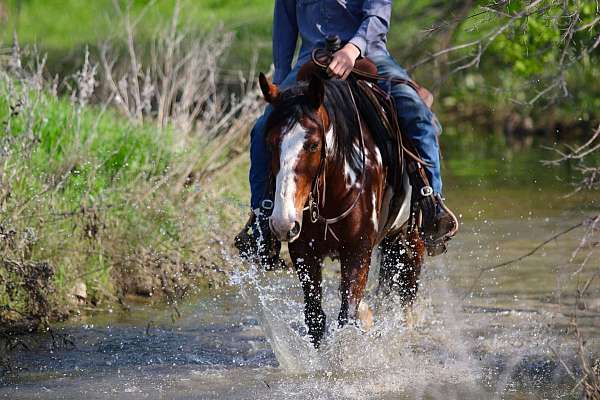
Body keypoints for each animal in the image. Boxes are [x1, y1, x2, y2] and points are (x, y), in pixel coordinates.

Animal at [260, 72, 424, 346]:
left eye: (313, 145)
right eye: (270, 143)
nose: (283, 223)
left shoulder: (358, 251)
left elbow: (346, 318)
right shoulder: (304, 253)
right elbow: (315, 318)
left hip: (412, 238)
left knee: (407, 297)